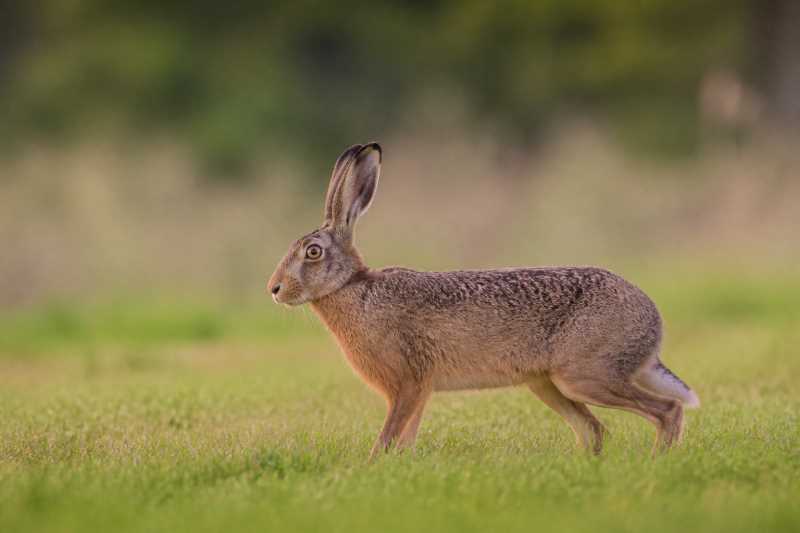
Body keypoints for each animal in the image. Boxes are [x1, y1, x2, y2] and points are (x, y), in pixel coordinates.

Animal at [267, 142, 699, 459]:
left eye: (312, 252)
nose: (274, 289)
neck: (352, 287)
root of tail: (652, 322)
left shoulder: (407, 383)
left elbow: (388, 438)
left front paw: (372, 466)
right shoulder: (418, 391)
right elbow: (405, 439)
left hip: (587, 374)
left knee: (667, 411)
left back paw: (658, 462)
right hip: (549, 383)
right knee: (595, 429)